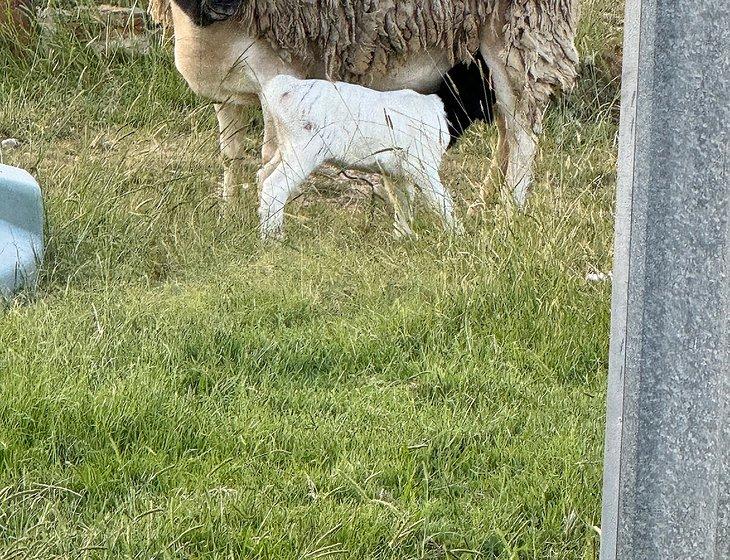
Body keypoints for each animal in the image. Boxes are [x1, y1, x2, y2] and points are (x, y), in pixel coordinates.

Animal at [151, 0, 576, 208]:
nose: (222, 7)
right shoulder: (229, 90)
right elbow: (231, 155)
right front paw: (228, 213)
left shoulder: (278, 72)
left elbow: (268, 158)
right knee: (507, 129)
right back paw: (485, 204)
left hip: (519, 36)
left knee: (523, 134)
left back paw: (509, 212)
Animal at [256, 73, 460, 240]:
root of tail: (285, 88)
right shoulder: (422, 164)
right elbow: (440, 199)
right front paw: (456, 236)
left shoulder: (398, 172)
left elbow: (403, 201)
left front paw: (403, 237)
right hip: (304, 152)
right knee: (275, 186)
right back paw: (273, 238)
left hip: (284, 147)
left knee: (263, 175)